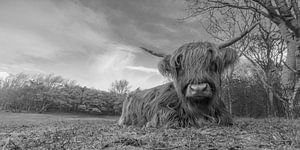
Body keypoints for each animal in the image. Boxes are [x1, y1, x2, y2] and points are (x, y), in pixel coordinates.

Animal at [118, 23, 258, 127]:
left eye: (213, 63)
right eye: (179, 66)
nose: (198, 89)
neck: (200, 109)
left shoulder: (224, 113)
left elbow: (224, 118)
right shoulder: (160, 110)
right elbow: (170, 117)